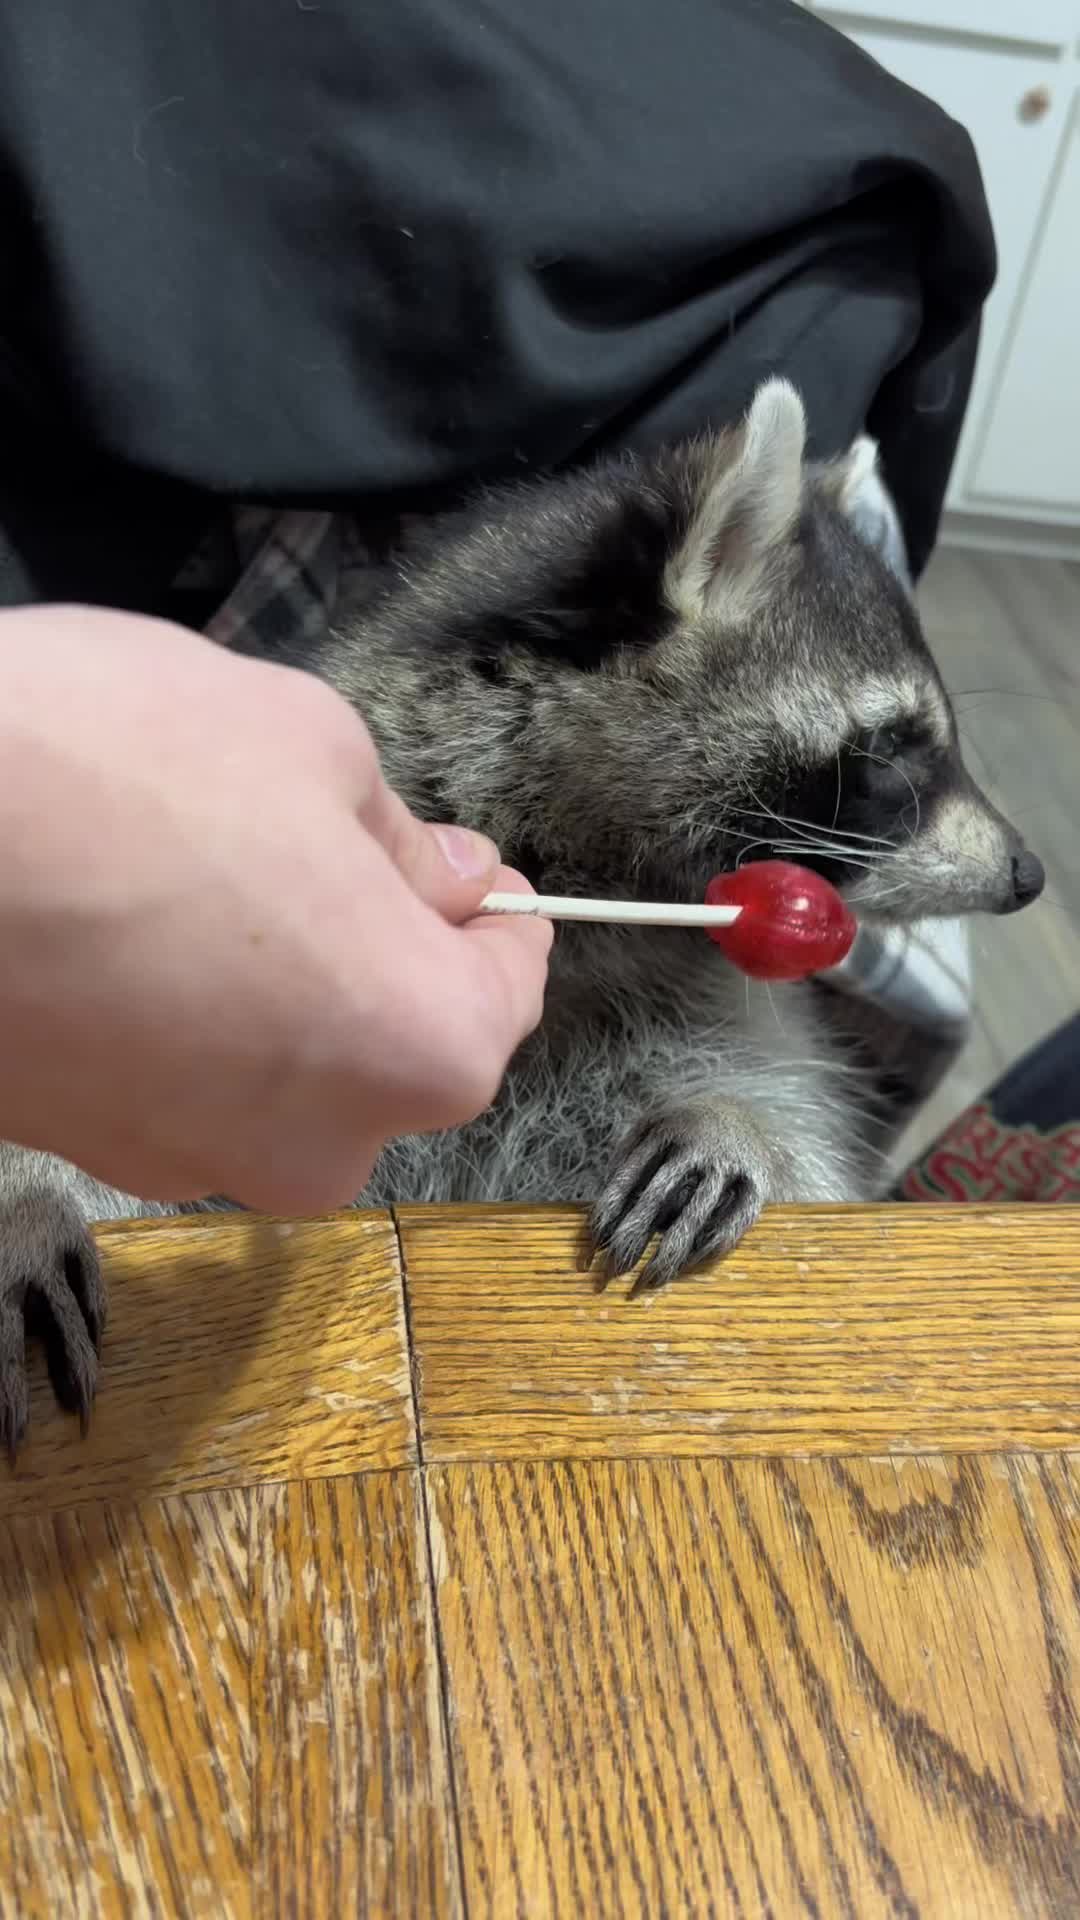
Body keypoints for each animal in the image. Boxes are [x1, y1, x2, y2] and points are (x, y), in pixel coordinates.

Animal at [0, 380, 1043, 1454]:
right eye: (896, 749)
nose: (1030, 873)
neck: (592, 885)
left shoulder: (713, 998)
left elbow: (799, 1138)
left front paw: (730, 1124)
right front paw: (34, 1192)